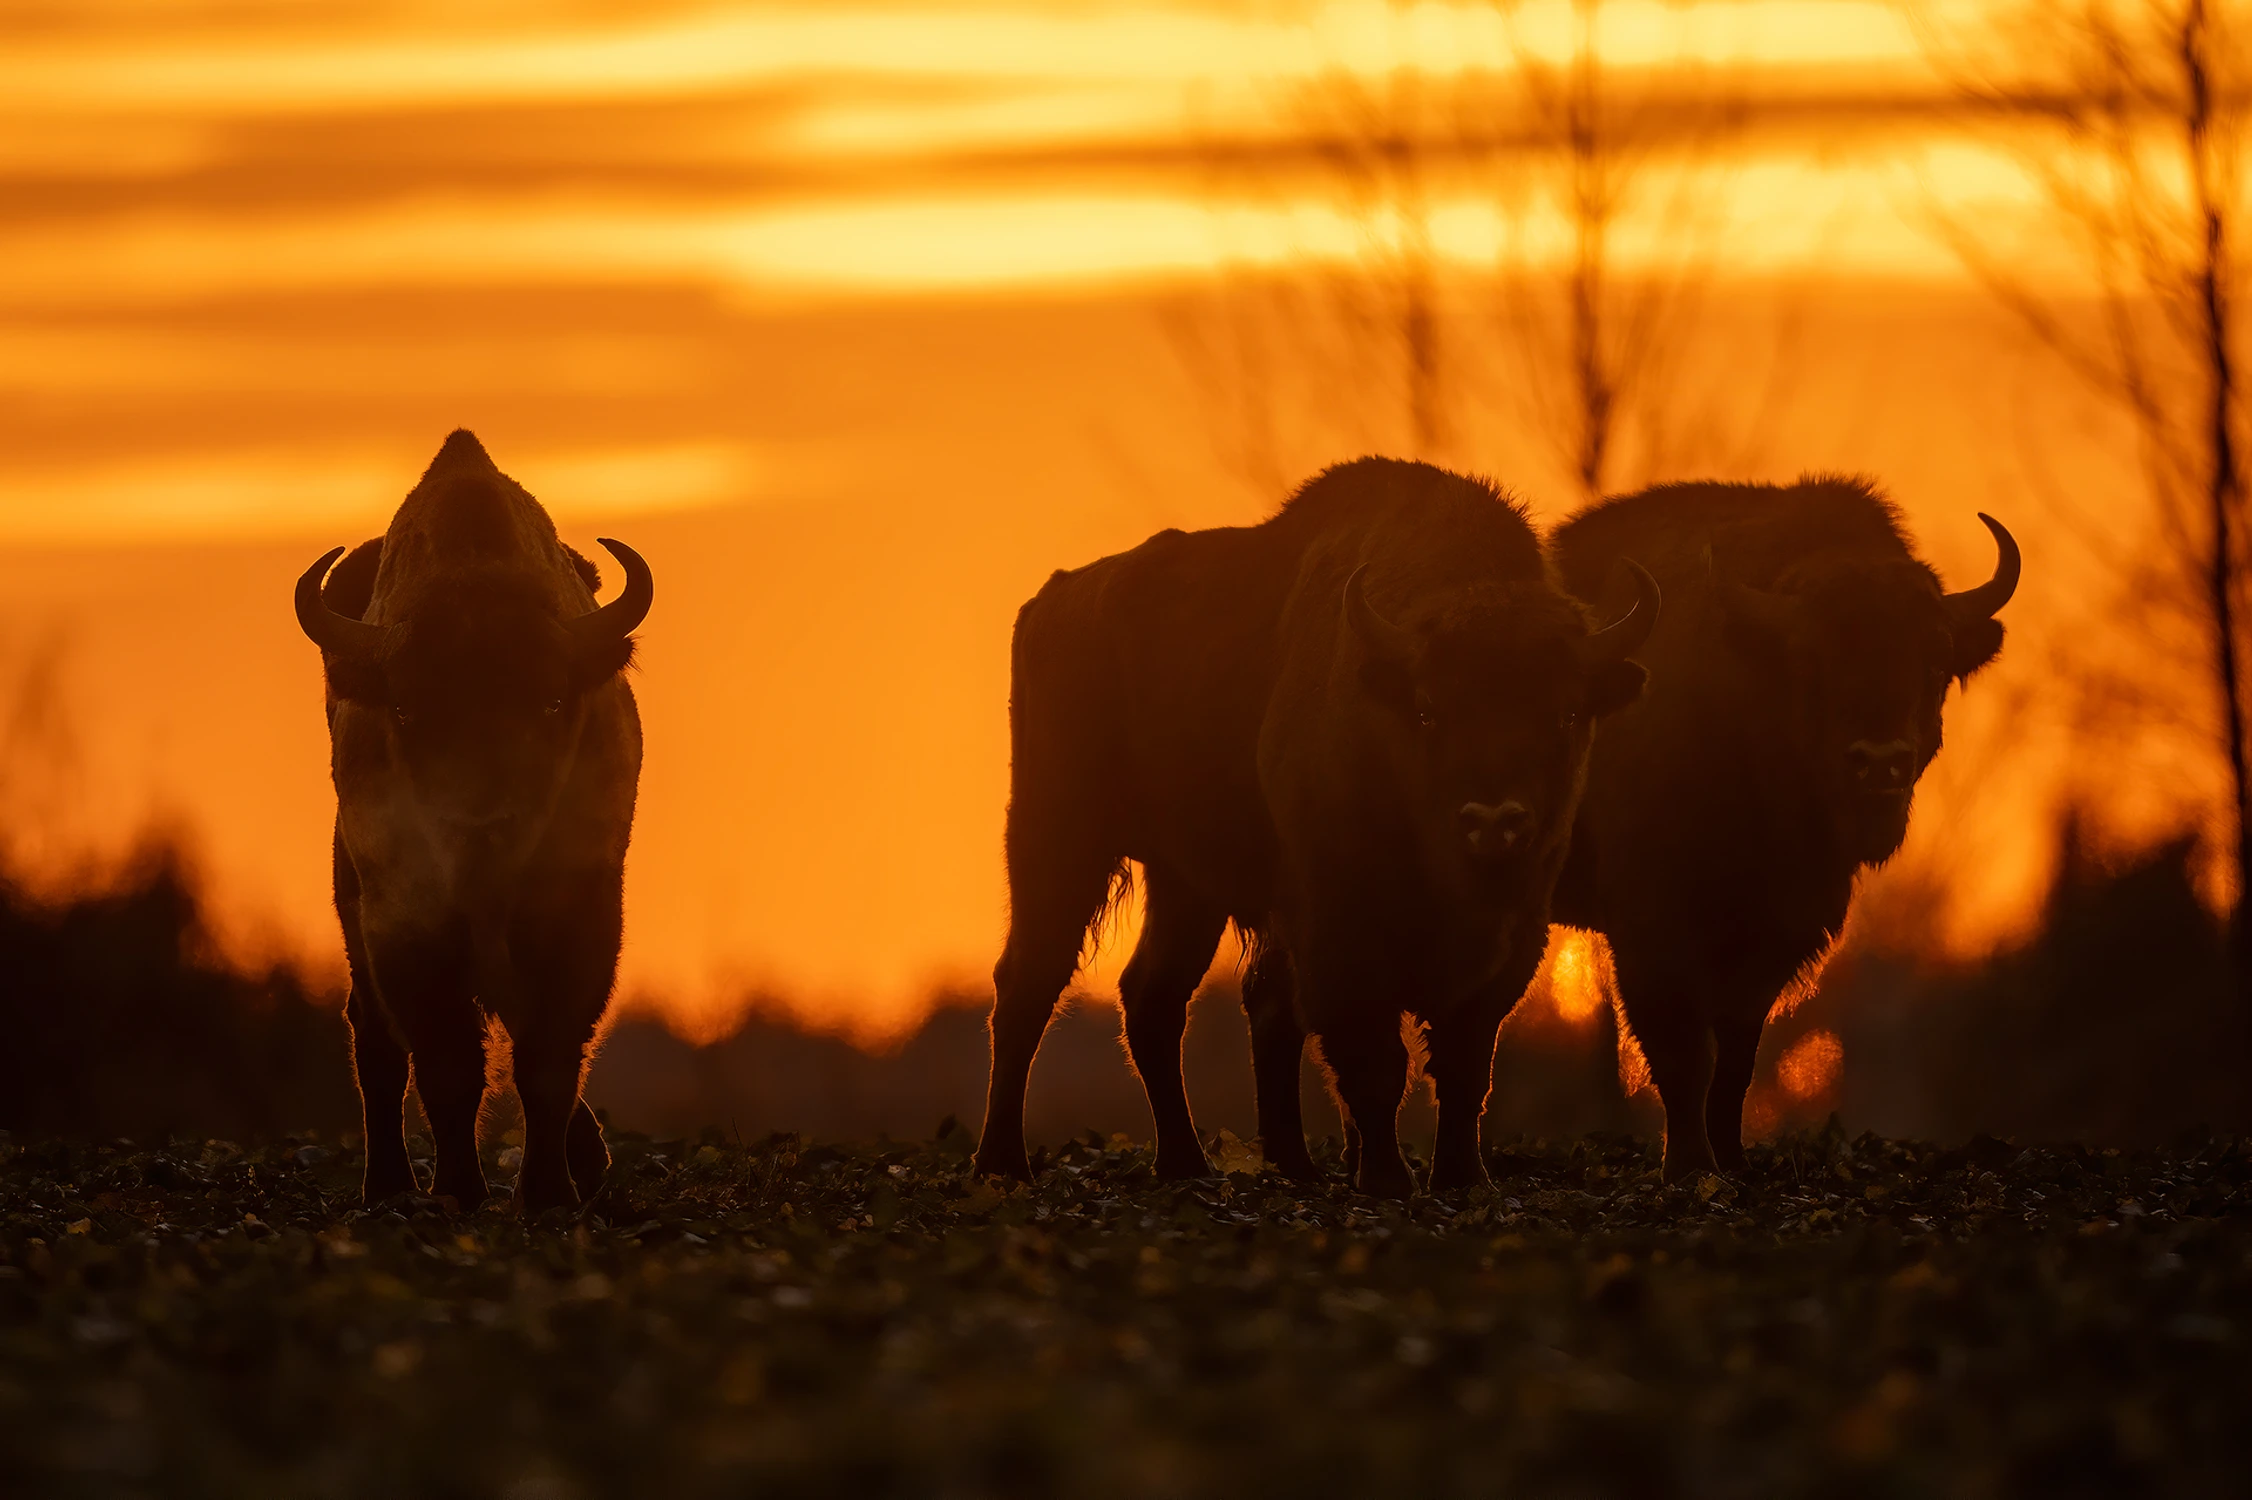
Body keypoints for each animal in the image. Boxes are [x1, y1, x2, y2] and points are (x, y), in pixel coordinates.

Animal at [292, 425, 653, 1207]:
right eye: (405, 708)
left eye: (552, 700)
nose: (482, 822)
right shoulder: (403, 925)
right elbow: (447, 1062)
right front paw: (459, 1191)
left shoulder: (579, 917)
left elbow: (547, 1054)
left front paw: (547, 1192)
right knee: (375, 1039)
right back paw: (387, 1186)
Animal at [977, 454, 1666, 1189]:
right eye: (1429, 710)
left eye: (1568, 713)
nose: (1493, 823)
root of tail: (1052, 602)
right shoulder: (1338, 934)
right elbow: (1376, 1066)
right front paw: (1388, 1181)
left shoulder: (1513, 942)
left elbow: (1463, 1068)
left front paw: (1461, 1178)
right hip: (1055, 839)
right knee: (1028, 983)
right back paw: (1004, 1163)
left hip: (1185, 884)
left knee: (1153, 997)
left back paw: (1201, 1165)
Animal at [1540, 479, 2017, 1180]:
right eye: (1811, 656)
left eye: (1934, 658)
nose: (1880, 761)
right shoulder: (1652, 930)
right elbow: (1683, 1054)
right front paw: (1691, 1168)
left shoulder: (1775, 938)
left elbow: (1735, 1062)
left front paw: (1733, 1161)